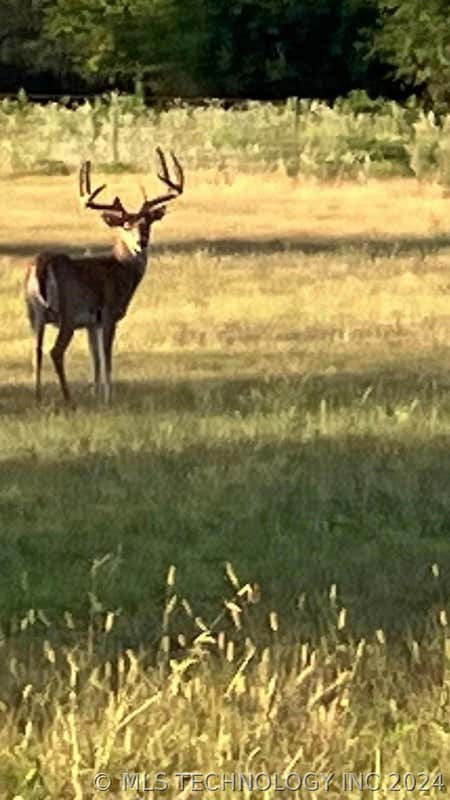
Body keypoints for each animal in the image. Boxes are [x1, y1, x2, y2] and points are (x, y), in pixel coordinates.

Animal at [23, 147, 183, 406]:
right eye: (125, 226)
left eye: (147, 223)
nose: (141, 242)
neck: (119, 269)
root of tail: (42, 263)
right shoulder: (108, 313)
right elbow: (106, 359)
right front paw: (108, 398)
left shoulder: (91, 323)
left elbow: (95, 360)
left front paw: (95, 394)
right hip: (68, 312)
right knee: (55, 351)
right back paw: (69, 400)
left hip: (34, 313)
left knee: (35, 351)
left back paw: (38, 399)